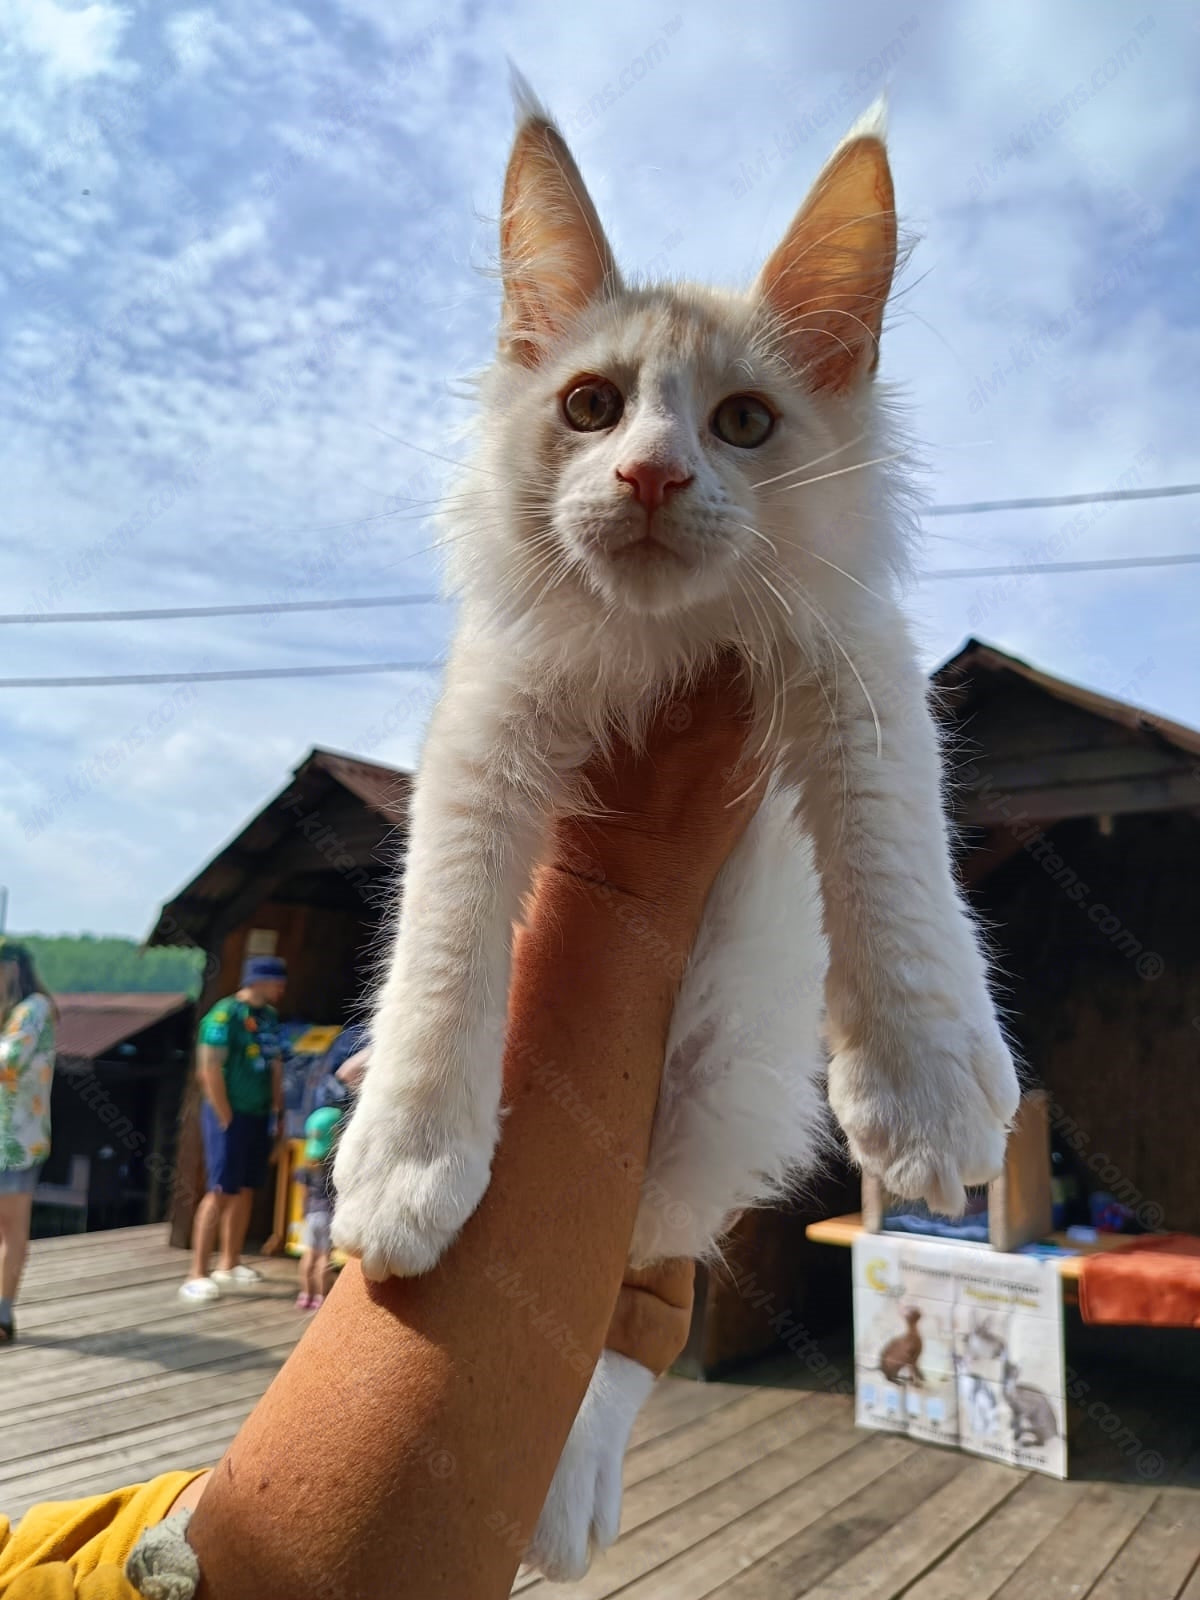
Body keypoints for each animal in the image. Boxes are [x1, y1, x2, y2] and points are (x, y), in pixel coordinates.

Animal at [334, 87, 1017, 1574]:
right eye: (590, 409)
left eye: (745, 423)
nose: (650, 473)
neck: (662, 647)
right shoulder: (484, 727)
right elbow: (447, 942)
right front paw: (408, 1159)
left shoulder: (858, 669)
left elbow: (895, 861)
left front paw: (928, 1089)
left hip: (715, 1108)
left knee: (640, 1311)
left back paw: (570, 1495)